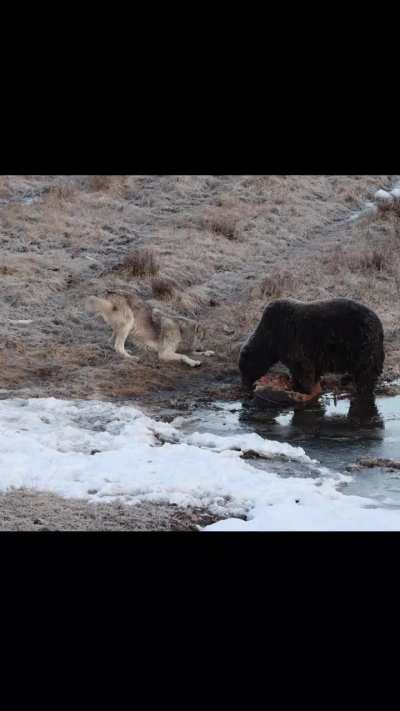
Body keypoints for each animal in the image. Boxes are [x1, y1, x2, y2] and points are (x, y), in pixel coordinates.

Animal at [85, 291, 214, 367]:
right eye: (201, 338)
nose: (201, 347)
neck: (180, 330)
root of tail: (109, 293)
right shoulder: (164, 353)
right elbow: (184, 356)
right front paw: (193, 362)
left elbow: (191, 352)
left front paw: (207, 352)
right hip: (129, 321)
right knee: (118, 346)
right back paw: (131, 357)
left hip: (121, 326)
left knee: (112, 341)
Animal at [239, 297, 384, 398]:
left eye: (244, 369)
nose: (244, 386)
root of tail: (379, 325)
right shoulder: (314, 353)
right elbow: (312, 369)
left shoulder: (290, 339)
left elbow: (302, 367)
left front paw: (303, 389)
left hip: (361, 343)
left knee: (365, 372)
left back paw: (361, 389)